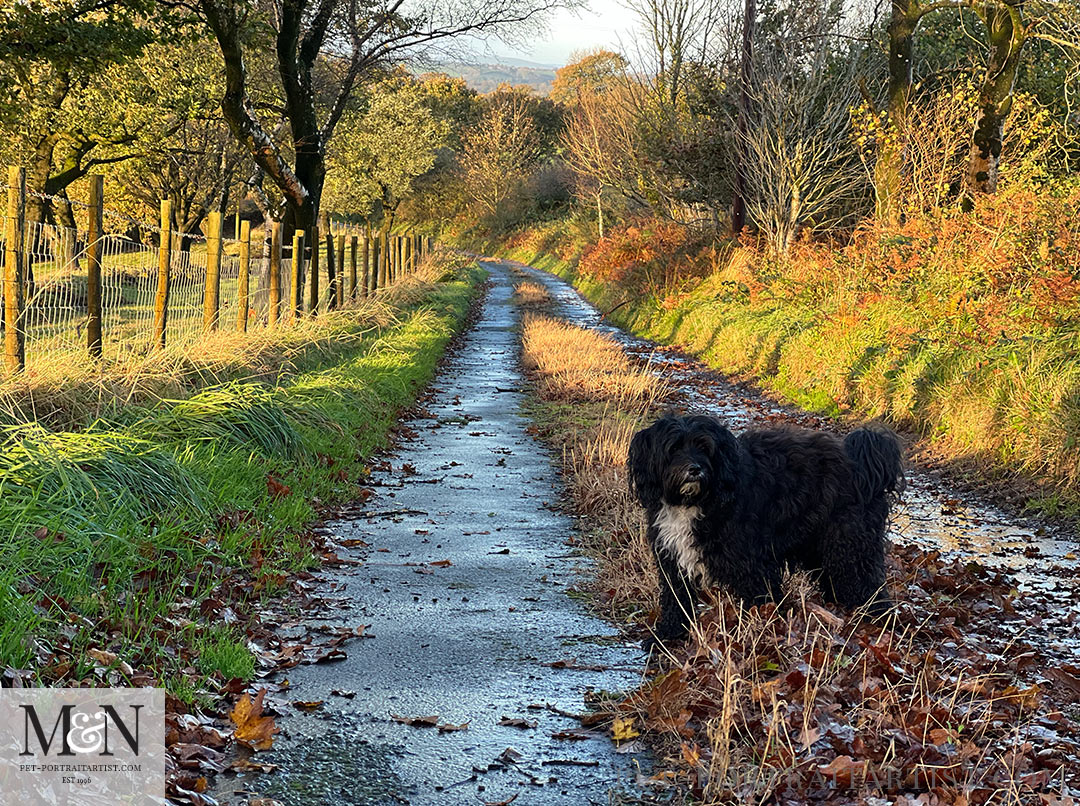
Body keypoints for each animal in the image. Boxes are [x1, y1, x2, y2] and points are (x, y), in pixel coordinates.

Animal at [626, 414, 902, 639]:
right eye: (673, 448)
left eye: (704, 447)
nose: (695, 469)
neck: (697, 501)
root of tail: (862, 463)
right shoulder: (673, 560)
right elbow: (676, 600)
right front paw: (668, 635)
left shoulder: (752, 565)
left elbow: (760, 602)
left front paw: (759, 636)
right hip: (822, 548)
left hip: (850, 544)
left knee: (868, 584)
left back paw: (878, 621)